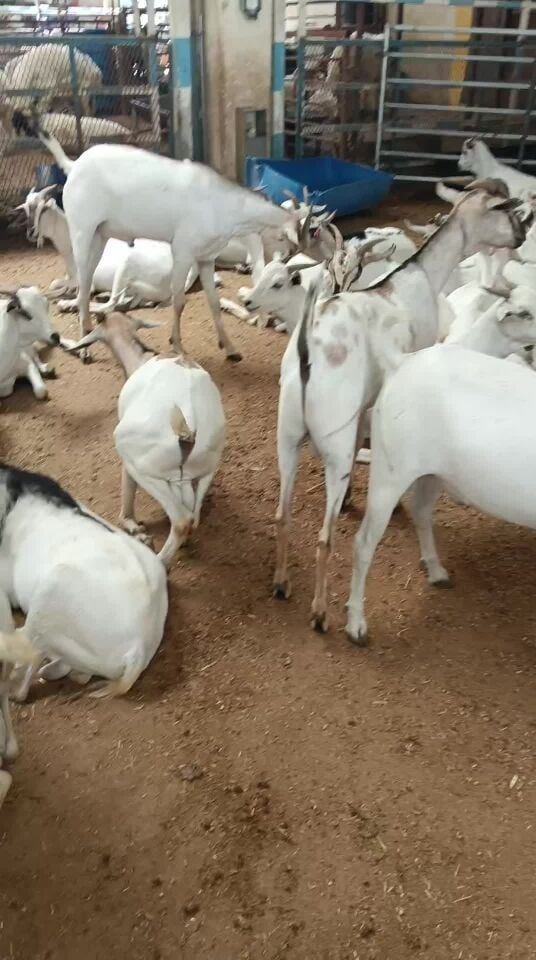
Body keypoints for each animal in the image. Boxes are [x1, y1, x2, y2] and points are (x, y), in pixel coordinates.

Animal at [37, 129, 302, 361]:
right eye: (282, 237)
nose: (288, 258)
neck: (222, 205)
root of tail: (74, 166)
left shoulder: (206, 258)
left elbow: (214, 303)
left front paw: (230, 348)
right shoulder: (182, 251)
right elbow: (179, 301)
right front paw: (177, 346)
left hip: (100, 236)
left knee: (89, 283)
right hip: (82, 231)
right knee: (82, 287)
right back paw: (84, 346)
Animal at [66, 313, 226, 569]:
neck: (143, 359)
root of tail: (188, 425)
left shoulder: (129, 462)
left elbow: (126, 505)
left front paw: (136, 529)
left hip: (141, 466)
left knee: (182, 520)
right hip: (203, 471)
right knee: (193, 518)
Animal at [273, 178, 528, 633]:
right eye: (505, 210)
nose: (522, 236)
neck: (420, 275)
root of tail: (307, 354)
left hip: (286, 436)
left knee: (282, 516)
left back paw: (282, 584)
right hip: (334, 449)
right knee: (324, 536)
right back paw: (320, 613)